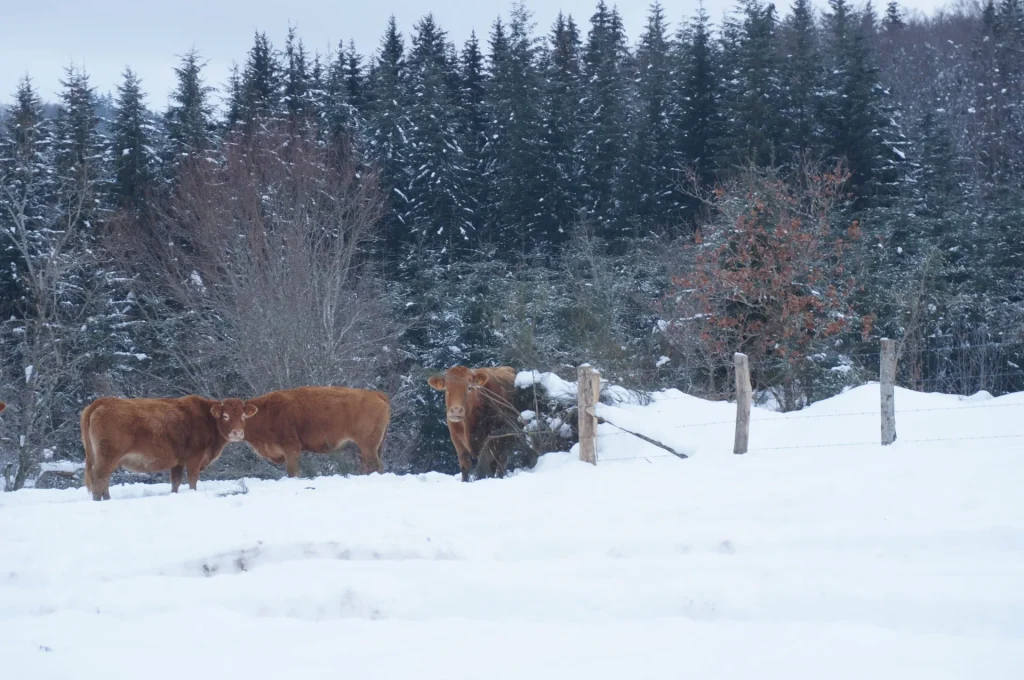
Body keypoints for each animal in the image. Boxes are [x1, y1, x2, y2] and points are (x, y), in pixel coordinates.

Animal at [80, 395, 256, 501]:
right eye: (225, 416)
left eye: (243, 416)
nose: (238, 432)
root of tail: (104, 401)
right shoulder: (194, 457)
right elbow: (192, 479)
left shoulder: (178, 461)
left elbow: (175, 482)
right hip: (107, 455)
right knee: (99, 478)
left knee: (105, 479)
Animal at [239, 387, 391, 477]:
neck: (265, 411)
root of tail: (376, 394)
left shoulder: (291, 448)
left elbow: (293, 472)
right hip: (367, 448)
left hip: (368, 446)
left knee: (374, 466)